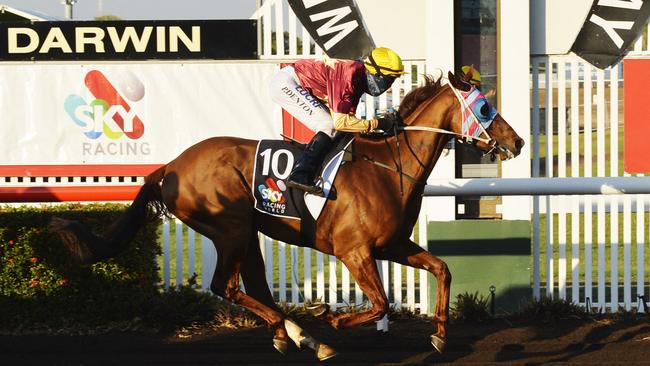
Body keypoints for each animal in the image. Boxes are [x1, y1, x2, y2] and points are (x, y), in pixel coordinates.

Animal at [54, 71, 520, 360]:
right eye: (484, 109)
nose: (516, 142)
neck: (389, 165)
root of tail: (170, 166)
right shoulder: (354, 251)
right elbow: (381, 302)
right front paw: (333, 316)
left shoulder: (392, 245)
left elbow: (442, 268)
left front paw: (439, 334)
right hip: (230, 229)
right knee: (225, 286)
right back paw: (304, 334)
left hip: (246, 233)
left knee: (254, 287)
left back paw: (296, 336)